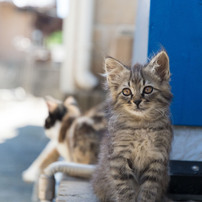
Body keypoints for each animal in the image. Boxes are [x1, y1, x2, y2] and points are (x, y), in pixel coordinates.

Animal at [92, 51, 173, 202]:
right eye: (126, 92)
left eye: (148, 89)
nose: (136, 101)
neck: (141, 125)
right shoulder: (118, 157)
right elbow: (125, 190)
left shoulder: (157, 158)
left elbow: (148, 190)